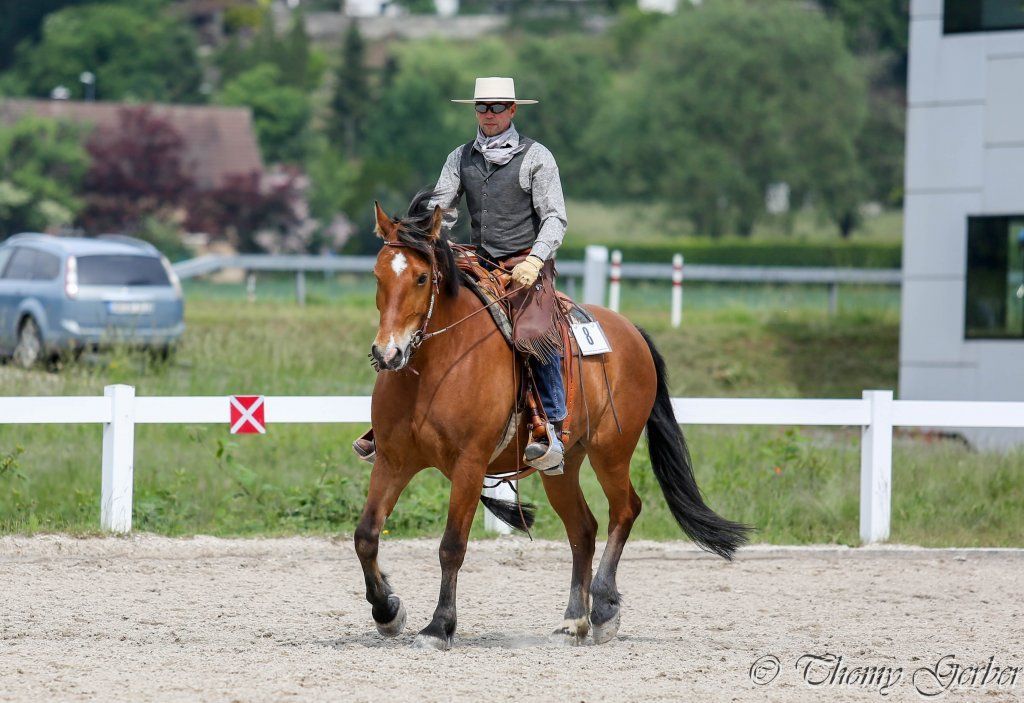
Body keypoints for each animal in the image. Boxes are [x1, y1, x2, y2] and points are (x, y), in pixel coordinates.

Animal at [355, 190, 750, 650]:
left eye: (421, 278)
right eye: (377, 275)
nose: (388, 353)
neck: (438, 366)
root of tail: (630, 330)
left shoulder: (469, 465)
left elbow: (452, 546)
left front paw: (439, 627)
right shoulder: (393, 460)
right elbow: (366, 536)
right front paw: (388, 612)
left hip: (611, 452)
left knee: (624, 511)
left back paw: (604, 608)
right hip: (561, 467)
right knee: (583, 529)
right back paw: (573, 620)